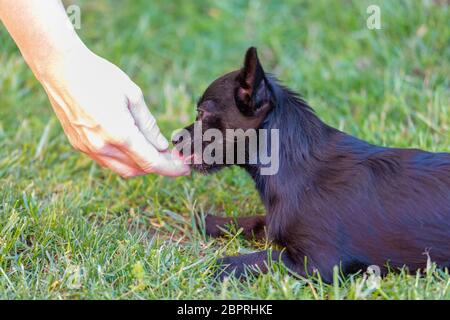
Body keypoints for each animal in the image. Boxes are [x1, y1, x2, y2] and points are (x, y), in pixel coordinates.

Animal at [173, 47, 450, 282]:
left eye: (202, 114)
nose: (174, 138)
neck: (295, 165)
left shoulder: (318, 263)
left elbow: (264, 257)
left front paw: (218, 265)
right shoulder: (275, 223)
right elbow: (252, 222)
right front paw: (206, 220)